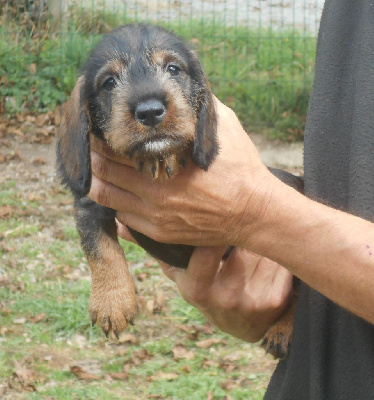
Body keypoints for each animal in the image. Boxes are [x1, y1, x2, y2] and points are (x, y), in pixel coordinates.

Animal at [56, 23, 304, 358]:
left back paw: (283, 329)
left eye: (173, 69)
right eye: (109, 82)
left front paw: (167, 157)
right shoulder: (90, 204)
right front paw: (112, 302)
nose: (150, 111)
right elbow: (101, 249)